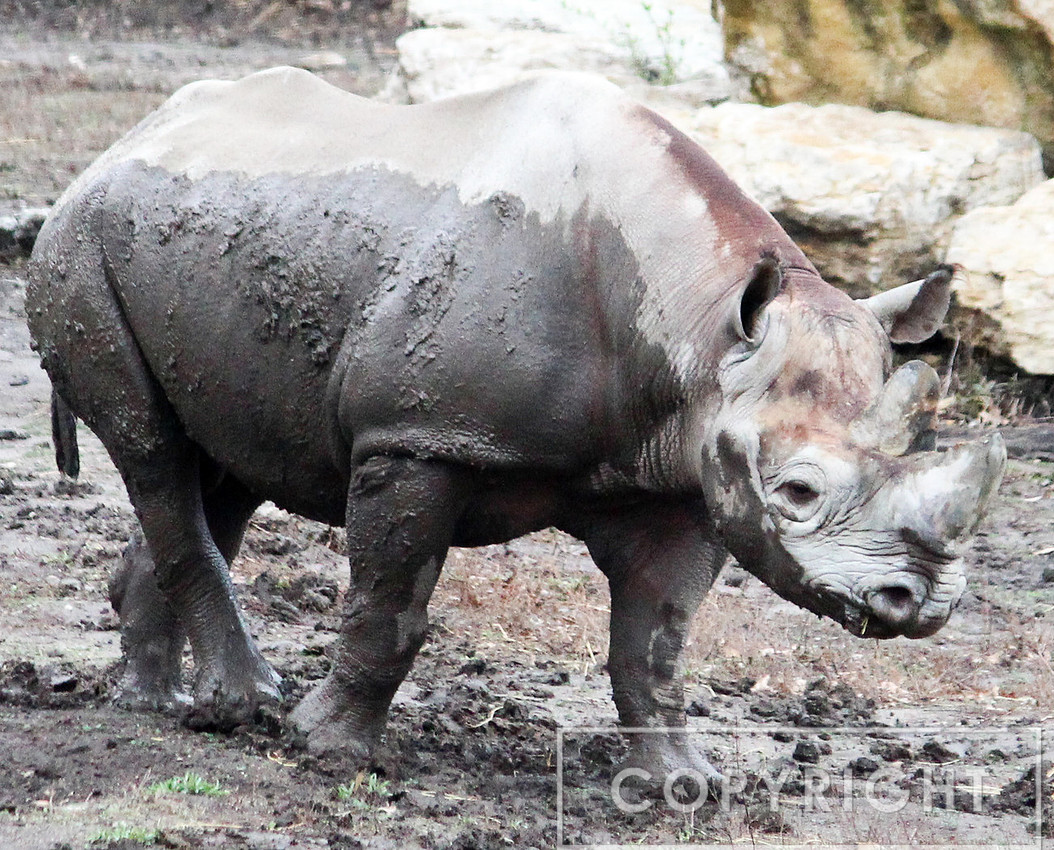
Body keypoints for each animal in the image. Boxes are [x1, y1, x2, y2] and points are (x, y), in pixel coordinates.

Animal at [26, 68, 1005, 777]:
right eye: (797, 491)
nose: (921, 604)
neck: (700, 324)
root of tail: (121, 144)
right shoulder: (418, 437)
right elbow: (389, 608)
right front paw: (327, 749)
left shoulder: (688, 475)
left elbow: (655, 641)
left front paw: (684, 786)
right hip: (77, 241)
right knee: (154, 453)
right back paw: (247, 702)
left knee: (221, 469)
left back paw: (163, 705)